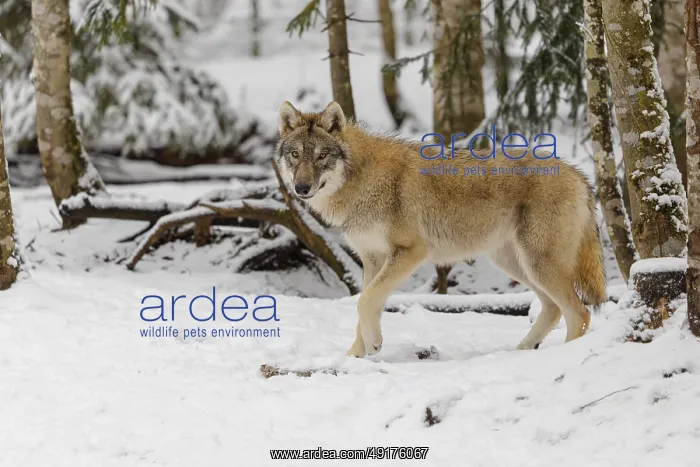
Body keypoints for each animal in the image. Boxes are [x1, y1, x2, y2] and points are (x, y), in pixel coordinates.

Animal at [276, 100, 607, 358]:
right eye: (295, 155)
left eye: (322, 155)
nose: (301, 188)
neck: (362, 179)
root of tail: (578, 175)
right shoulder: (372, 259)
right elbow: (365, 306)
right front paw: (356, 357)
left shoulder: (410, 252)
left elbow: (365, 300)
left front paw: (374, 345)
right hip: (515, 264)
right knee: (552, 309)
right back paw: (522, 352)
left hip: (538, 264)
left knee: (579, 313)